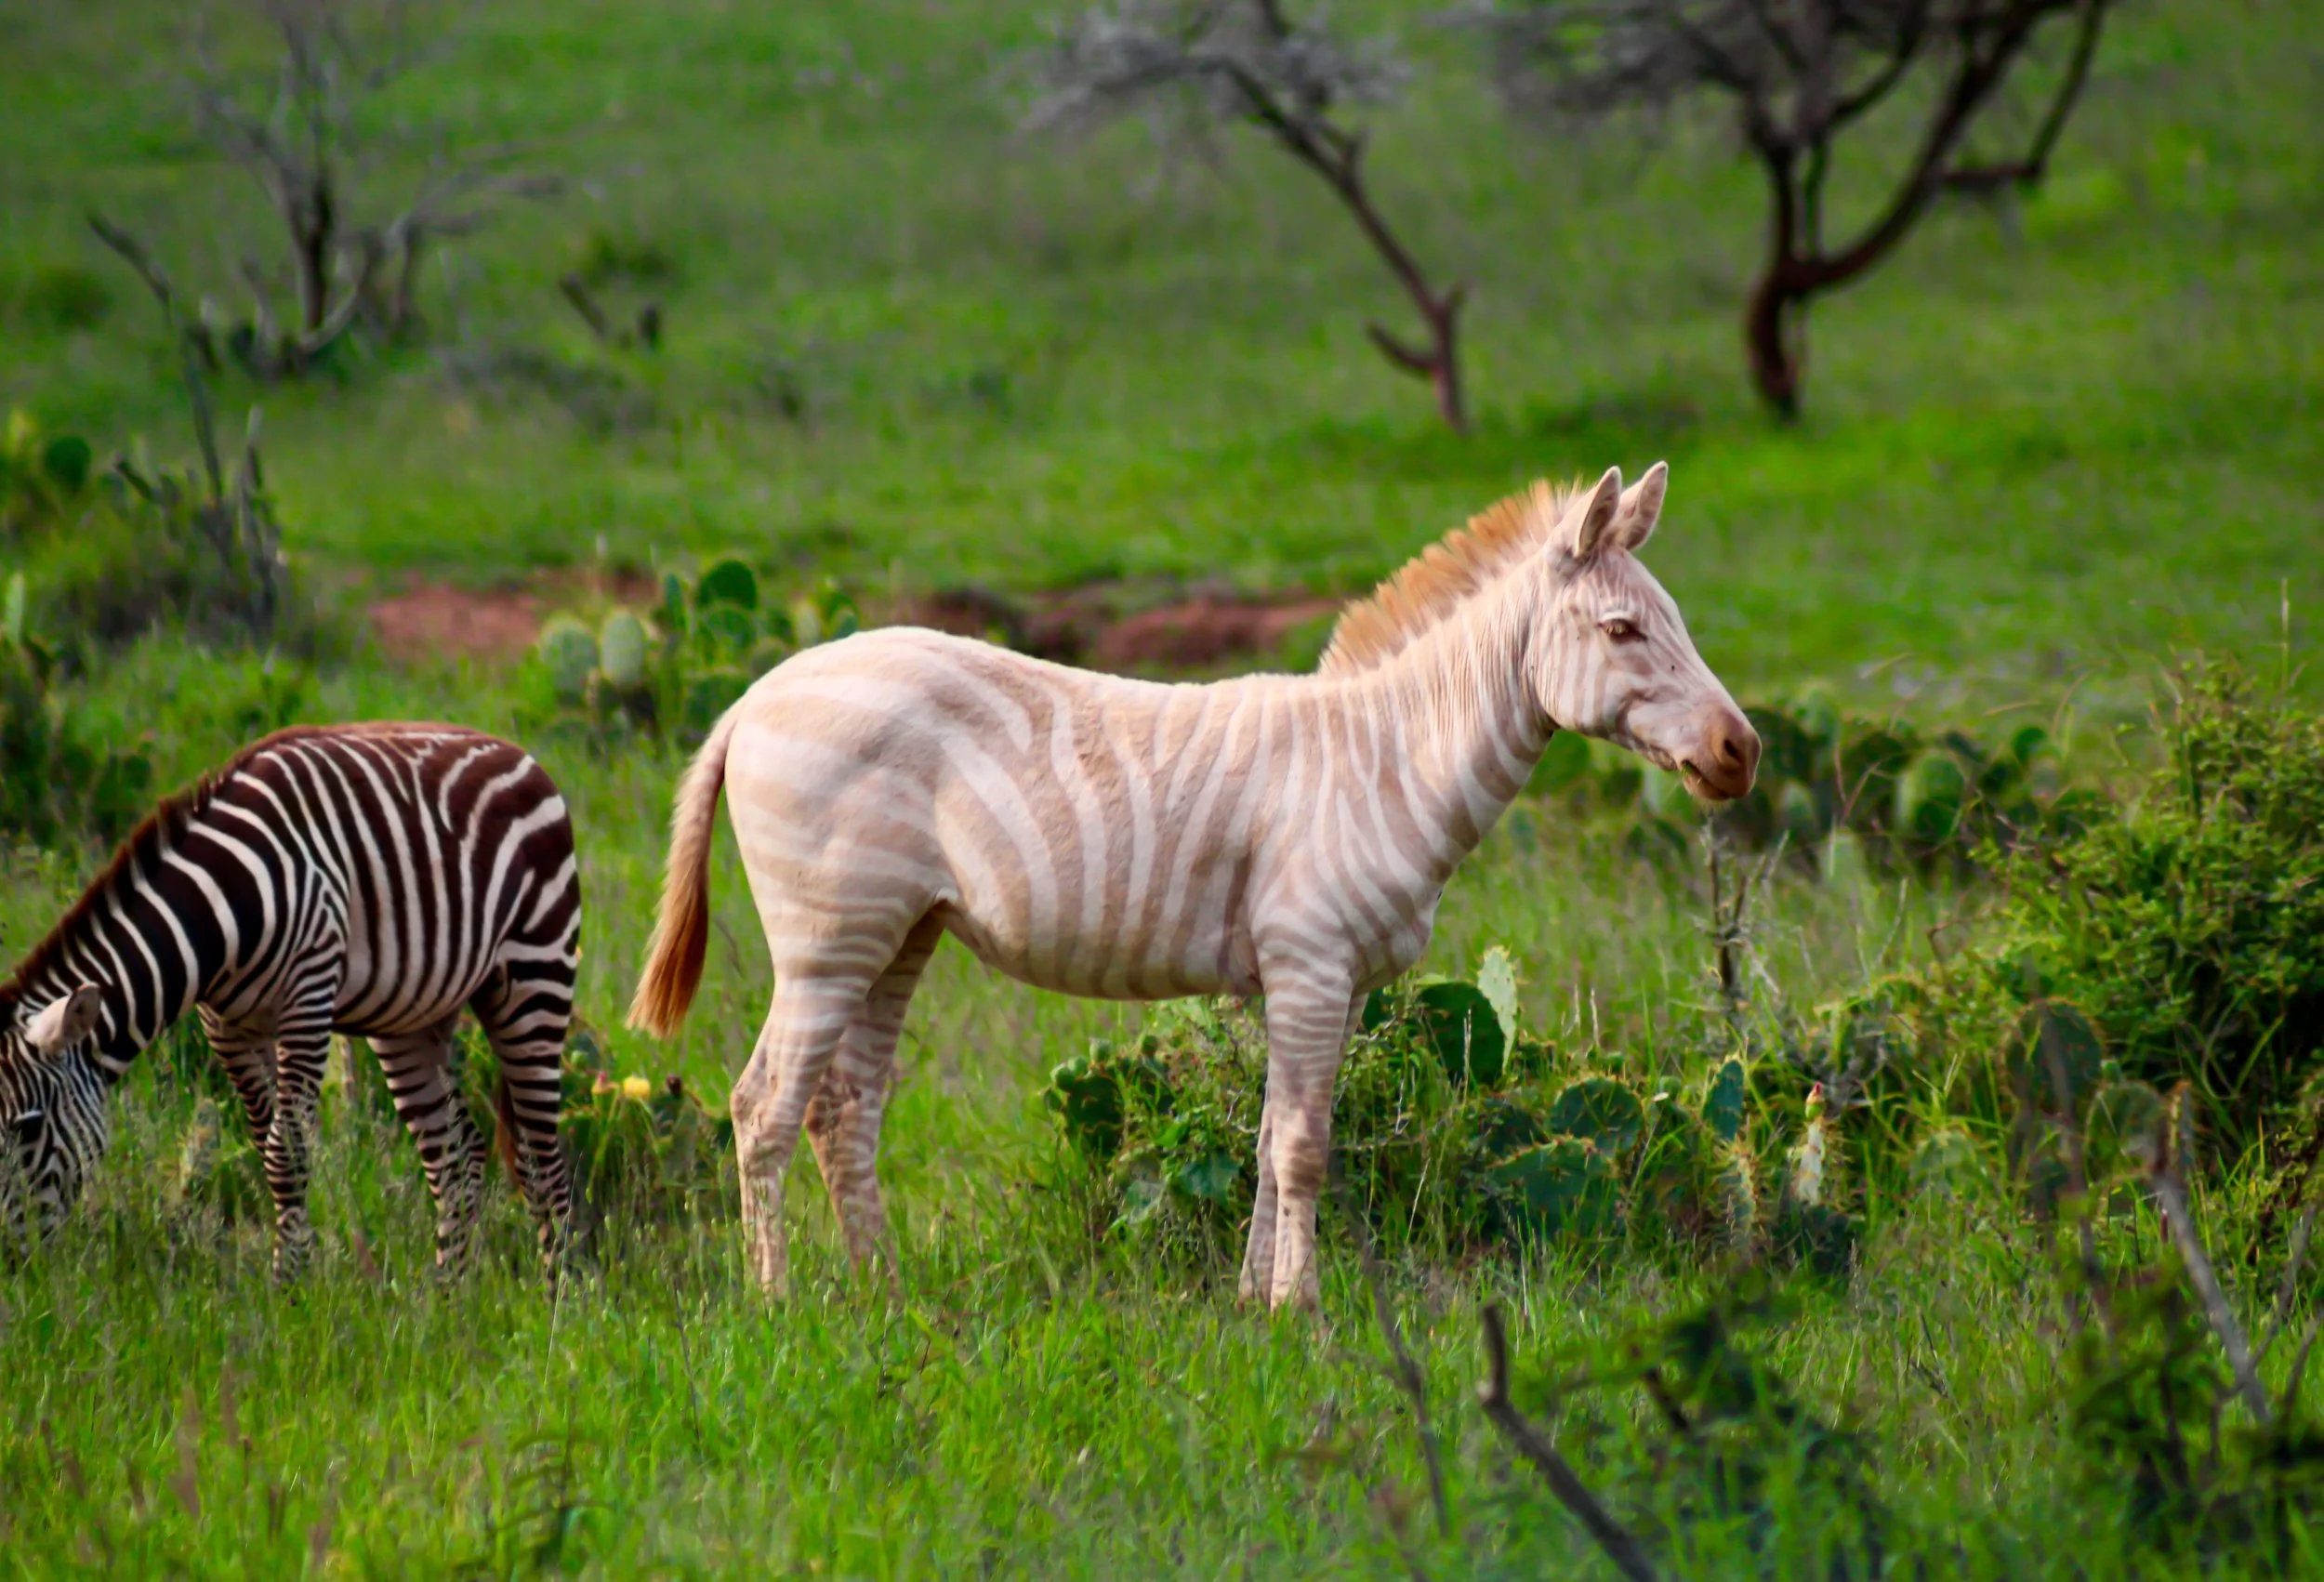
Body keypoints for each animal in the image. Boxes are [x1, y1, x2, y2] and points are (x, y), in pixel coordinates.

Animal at [0, 723, 580, 1278]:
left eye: (27, 1128)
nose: (12, 1267)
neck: (218, 910)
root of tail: (519, 754)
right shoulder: (227, 1026)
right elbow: (266, 1146)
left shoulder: (308, 990)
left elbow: (289, 1151)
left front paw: (291, 1290)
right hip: (412, 1017)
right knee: (457, 1158)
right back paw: (449, 1301)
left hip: (537, 975)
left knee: (542, 1161)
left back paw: (558, 1300)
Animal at [628, 464, 1759, 1309]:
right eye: (1622, 630)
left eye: (1675, 620)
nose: (1742, 752)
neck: (1387, 761)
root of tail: (754, 694)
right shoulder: (1310, 964)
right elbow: (1304, 1147)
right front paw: (1303, 1313)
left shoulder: (1320, 983)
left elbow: (1262, 1141)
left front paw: (1253, 1305)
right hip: (826, 938)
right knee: (763, 1105)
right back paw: (778, 1306)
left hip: (899, 933)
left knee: (844, 1107)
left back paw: (884, 1298)